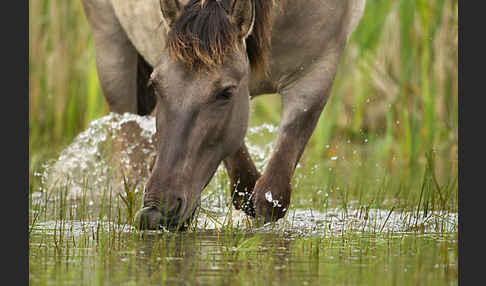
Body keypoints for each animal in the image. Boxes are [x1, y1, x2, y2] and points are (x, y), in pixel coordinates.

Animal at [81, 0, 364, 229]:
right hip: (112, 51)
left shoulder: (315, 78)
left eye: (226, 92)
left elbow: (271, 194)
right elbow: (245, 184)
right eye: (156, 84)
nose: (156, 212)